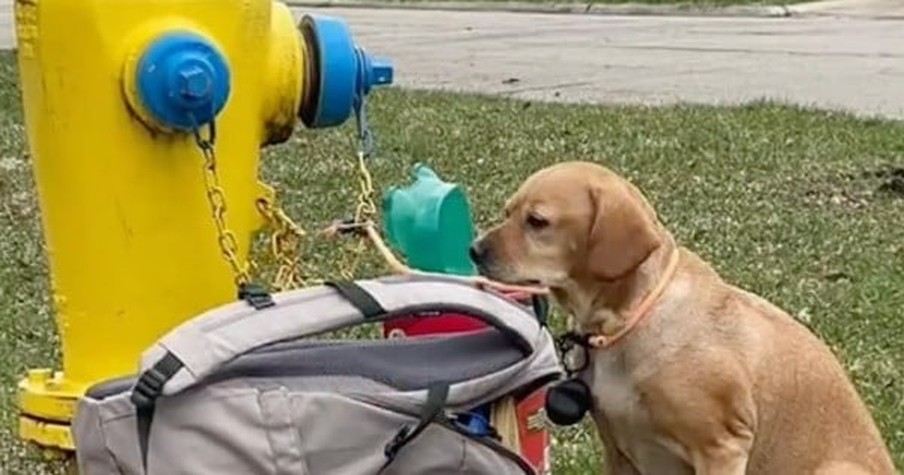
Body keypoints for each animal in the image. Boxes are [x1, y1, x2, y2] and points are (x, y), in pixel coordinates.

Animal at [470, 162, 892, 474]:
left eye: (537, 221)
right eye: (509, 212)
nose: (474, 250)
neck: (626, 322)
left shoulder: (721, 447)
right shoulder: (617, 450)